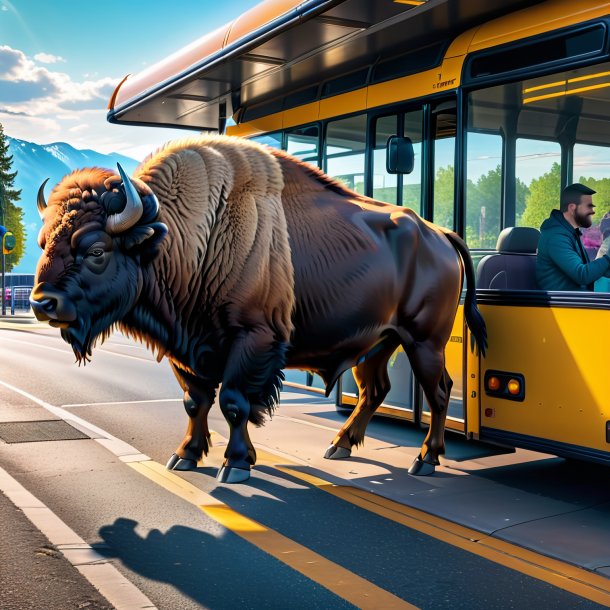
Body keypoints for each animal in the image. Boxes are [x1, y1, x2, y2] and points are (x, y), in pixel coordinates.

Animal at [30, 135, 484, 482]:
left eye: (96, 250)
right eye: (44, 242)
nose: (42, 302)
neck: (185, 236)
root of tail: (439, 234)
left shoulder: (252, 340)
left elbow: (234, 403)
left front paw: (235, 465)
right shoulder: (187, 349)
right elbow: (196, 402)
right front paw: (185, 456)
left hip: (424, 341)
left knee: (439, 391)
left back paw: (424, 459)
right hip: (378, 342)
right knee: (376, 389)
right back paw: (339, 446)